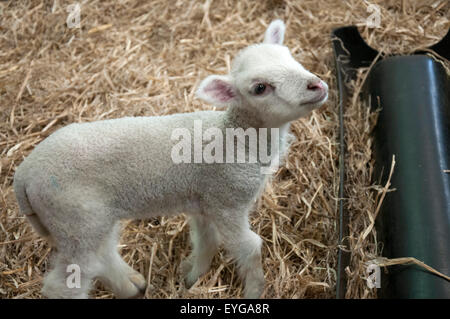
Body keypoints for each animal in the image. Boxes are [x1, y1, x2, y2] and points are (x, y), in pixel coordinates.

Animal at [13, 20, 326, 300]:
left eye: (290, 57)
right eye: (260, 88)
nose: (317, 85)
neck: (237, 138)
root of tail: (23, 175)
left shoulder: (205, 201)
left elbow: (206, 240)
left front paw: (192, 276)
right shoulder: (228, 202)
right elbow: (249, 247)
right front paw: (254, 291)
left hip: (88, 221)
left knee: (102, 254)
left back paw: (132, 286)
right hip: (73, 219)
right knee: (67, 282)